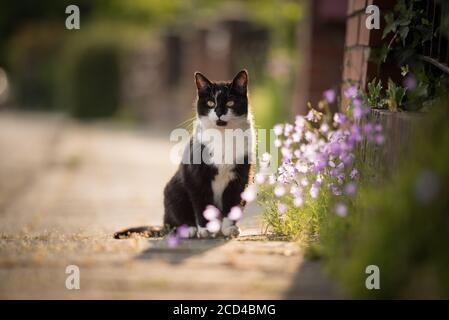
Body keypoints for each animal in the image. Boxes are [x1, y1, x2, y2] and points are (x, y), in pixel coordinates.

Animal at [114, 70, 256, 240]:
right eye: (210, 103)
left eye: (230, 103)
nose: (219, 112)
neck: (223, 135)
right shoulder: (196, 176)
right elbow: (202, 203)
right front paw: (206, 230)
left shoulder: (240, 176)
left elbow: (233, 202)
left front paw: (229, 228)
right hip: (174, 191)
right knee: (173, 222)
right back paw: (188, 229)